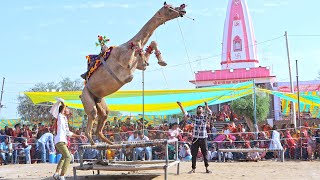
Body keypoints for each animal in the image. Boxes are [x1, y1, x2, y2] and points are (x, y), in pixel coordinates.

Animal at [80, 1, 186, 145]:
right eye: (169, 7)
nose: (182, 8)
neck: (126, 47)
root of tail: (81, 94)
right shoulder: (125, 71)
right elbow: (134, 60)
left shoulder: (138, 65)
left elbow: (148, 51)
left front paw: (162, 61)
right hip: (87, 98)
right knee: (91, 117)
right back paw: (92, 143)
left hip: (99, 100)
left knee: (103, 119)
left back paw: (111, 144)